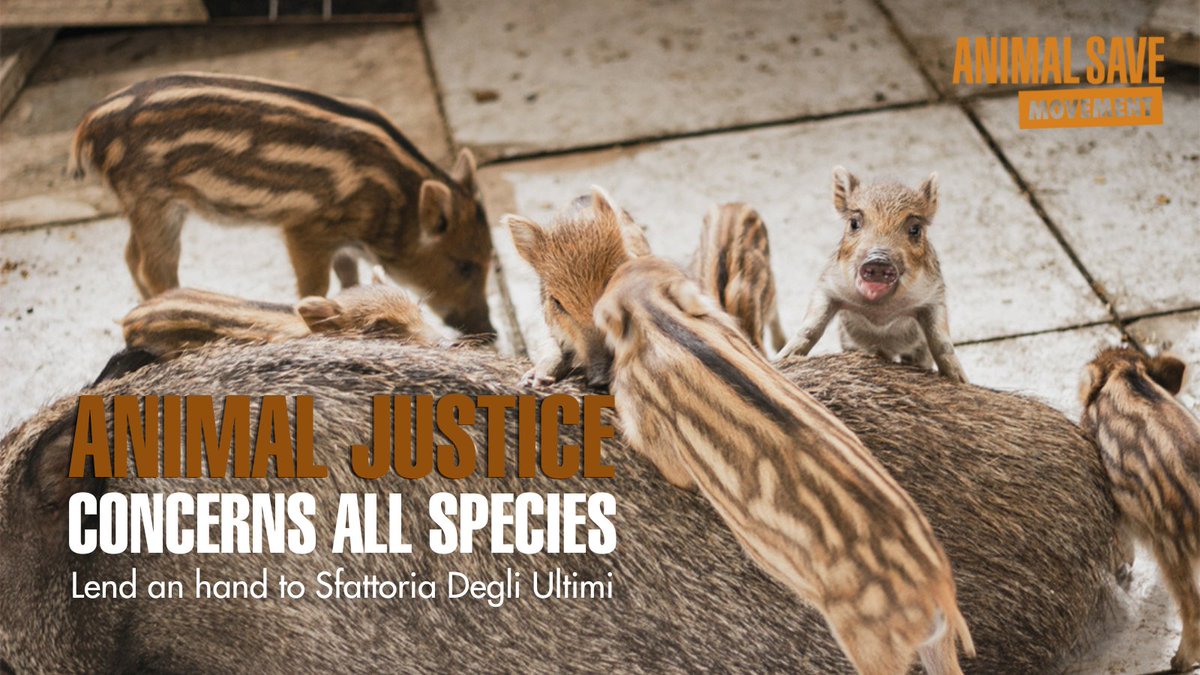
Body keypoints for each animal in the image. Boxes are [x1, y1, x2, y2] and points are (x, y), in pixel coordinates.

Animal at [69, 72, 495, 338]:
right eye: (464, 266)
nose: (491, 332)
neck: (395, 200)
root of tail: (86, 126)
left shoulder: (340, 241)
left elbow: (348, 275)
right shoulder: (305, 229)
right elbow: (315, 285)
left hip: (144, 205)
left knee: (130, 255)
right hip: (153, 201)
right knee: (155, 265)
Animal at [596, 256, 973, 674]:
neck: (659, 318)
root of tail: (937, 589)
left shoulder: (645, 418)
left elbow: (665, 462)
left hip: (872, 646)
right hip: (934, 642)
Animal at [778, 167, 966, 383]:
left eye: (915, 229)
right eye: (854, 223)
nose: (879, 260)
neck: (879, 313)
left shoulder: (934, 294)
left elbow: (941, 341)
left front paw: (960, 380)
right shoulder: (828, 284)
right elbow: (811, 326)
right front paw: (782, 358)